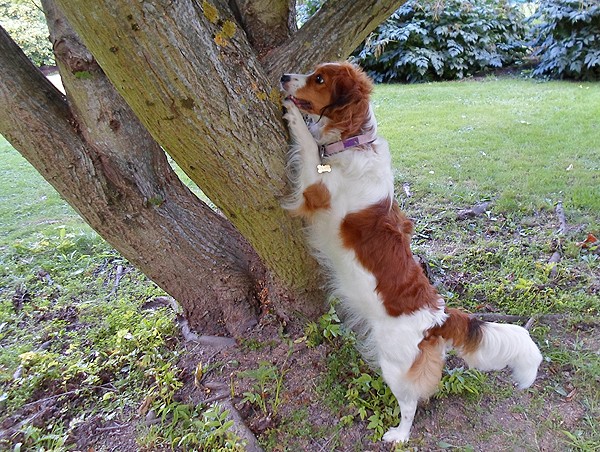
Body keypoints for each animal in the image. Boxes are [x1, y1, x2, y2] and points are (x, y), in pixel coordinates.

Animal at [278, 61, 540, 444]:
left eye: (319, 79)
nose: (284, 78)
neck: (354, 144)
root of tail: (437, 317)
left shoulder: (315, 189)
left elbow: (310, 148)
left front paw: (296, 118)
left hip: (394, 364)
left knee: (411, 402)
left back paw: (399, 434)